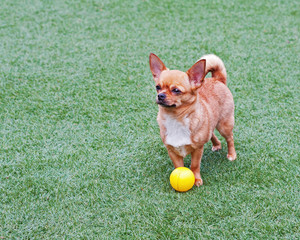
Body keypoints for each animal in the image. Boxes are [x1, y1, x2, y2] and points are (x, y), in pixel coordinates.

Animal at [149, 53, 236, 187]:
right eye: (157, 87)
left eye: (176, 90)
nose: (160, 95)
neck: (175, 118)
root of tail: (217, 79)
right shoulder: (172, 150)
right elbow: (178, 166)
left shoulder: (197, 149)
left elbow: (195, 165)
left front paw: (197, 180)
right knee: (211, 133)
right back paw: (217, 145)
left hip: (224, 125)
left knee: (230, 138)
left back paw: (232, 155)